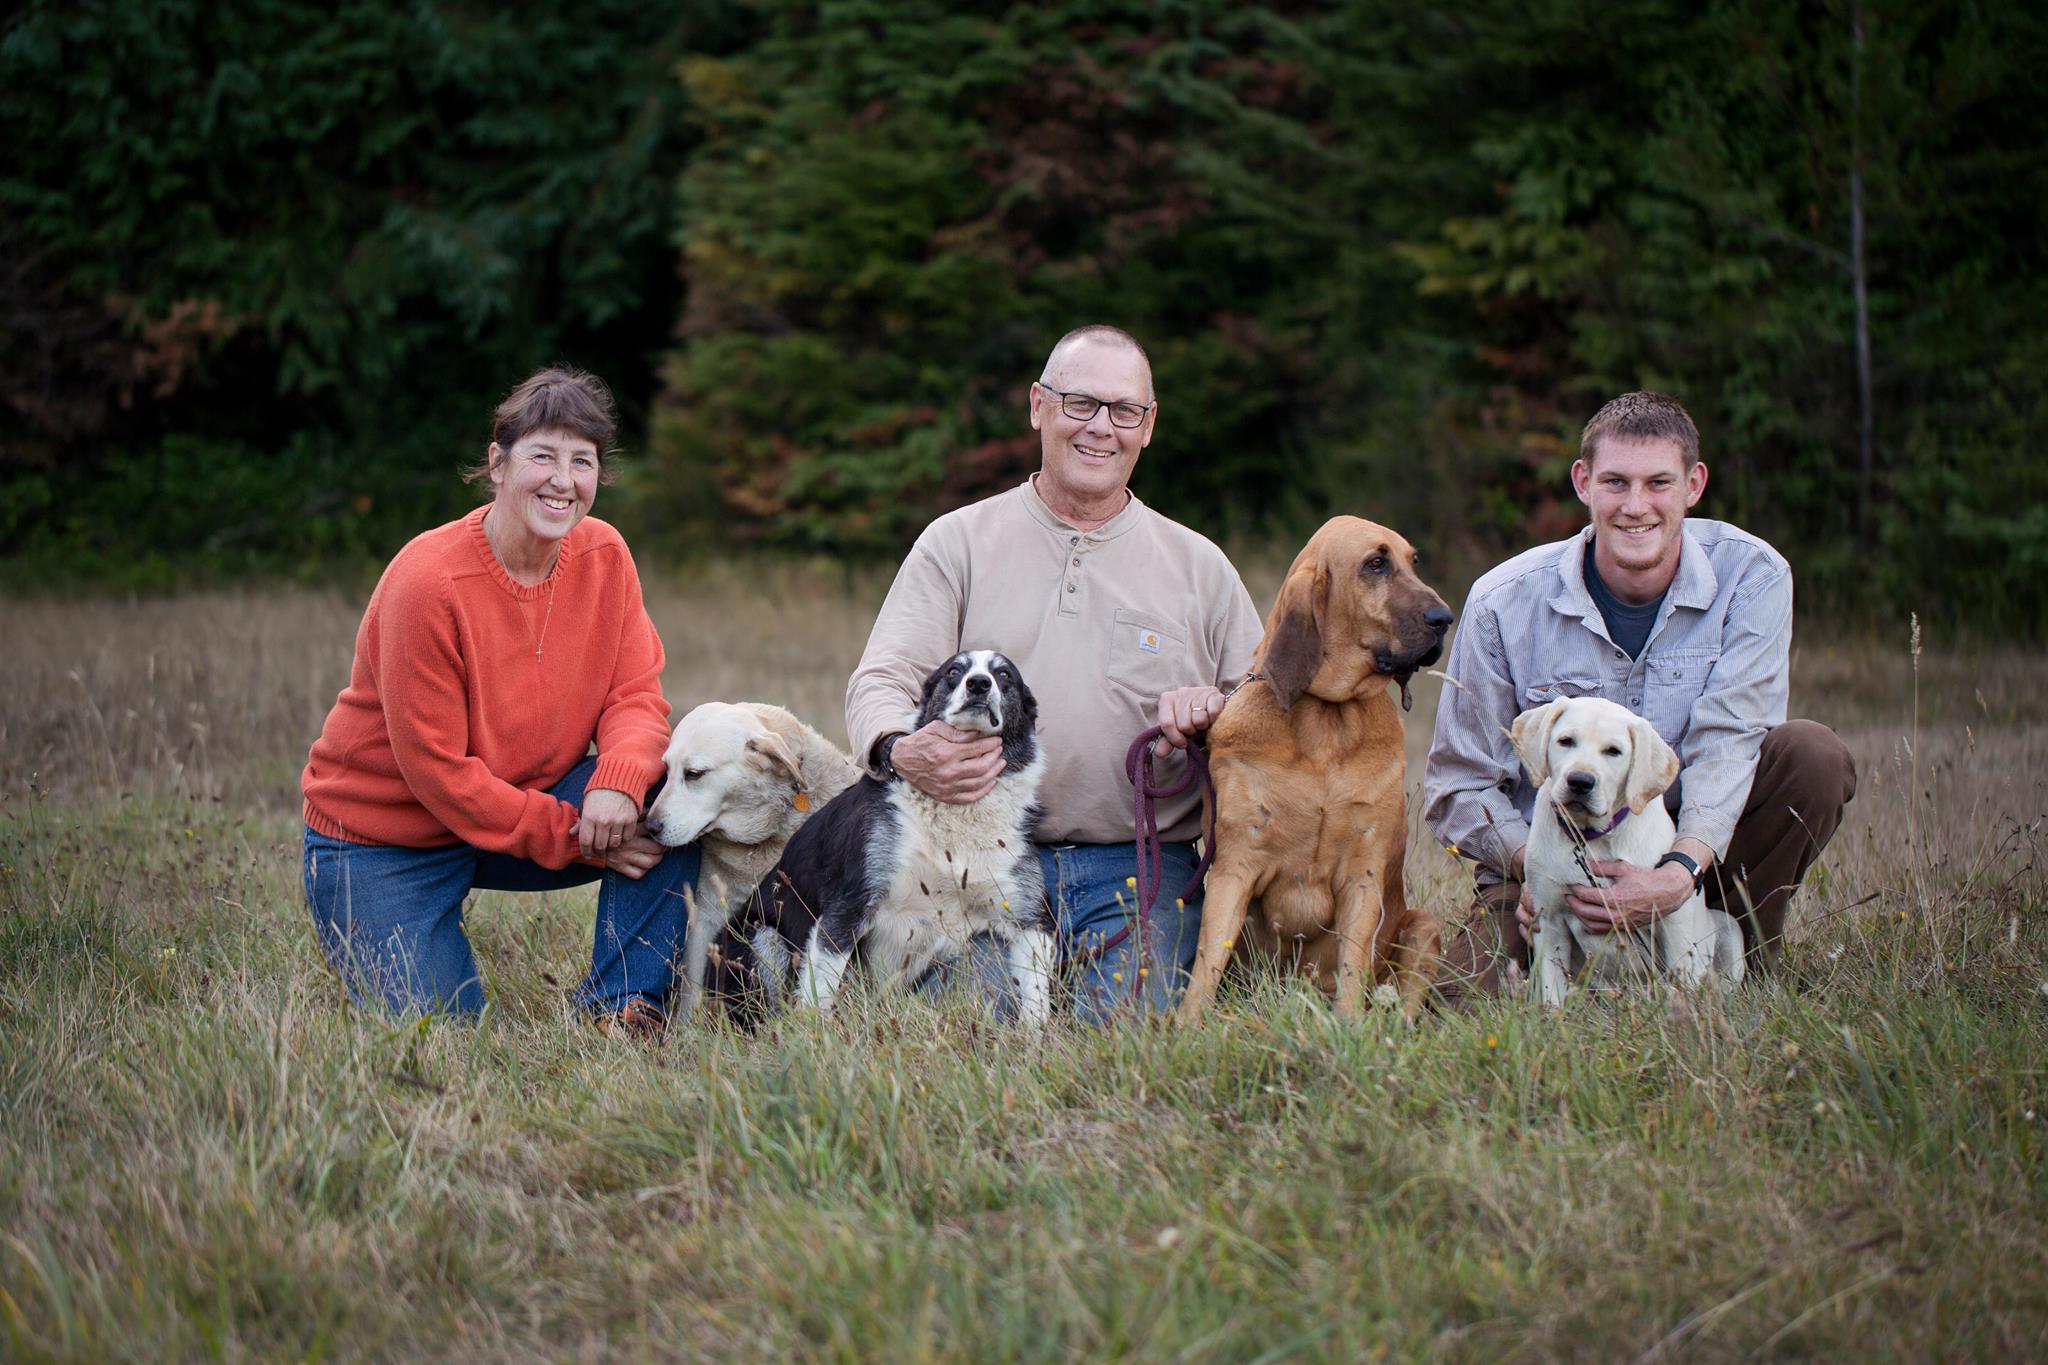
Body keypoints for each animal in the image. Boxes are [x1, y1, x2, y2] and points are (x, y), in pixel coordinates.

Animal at [1515, 699, 1736, 1010]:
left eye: (1613, 751)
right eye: (1565, 741)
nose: (1580, 781)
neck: (1589, 837)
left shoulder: (1672, 918)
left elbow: (1682, 976)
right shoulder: (1547, 919)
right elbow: (1551, 989)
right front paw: (1551, 1015)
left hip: (1731, 930)